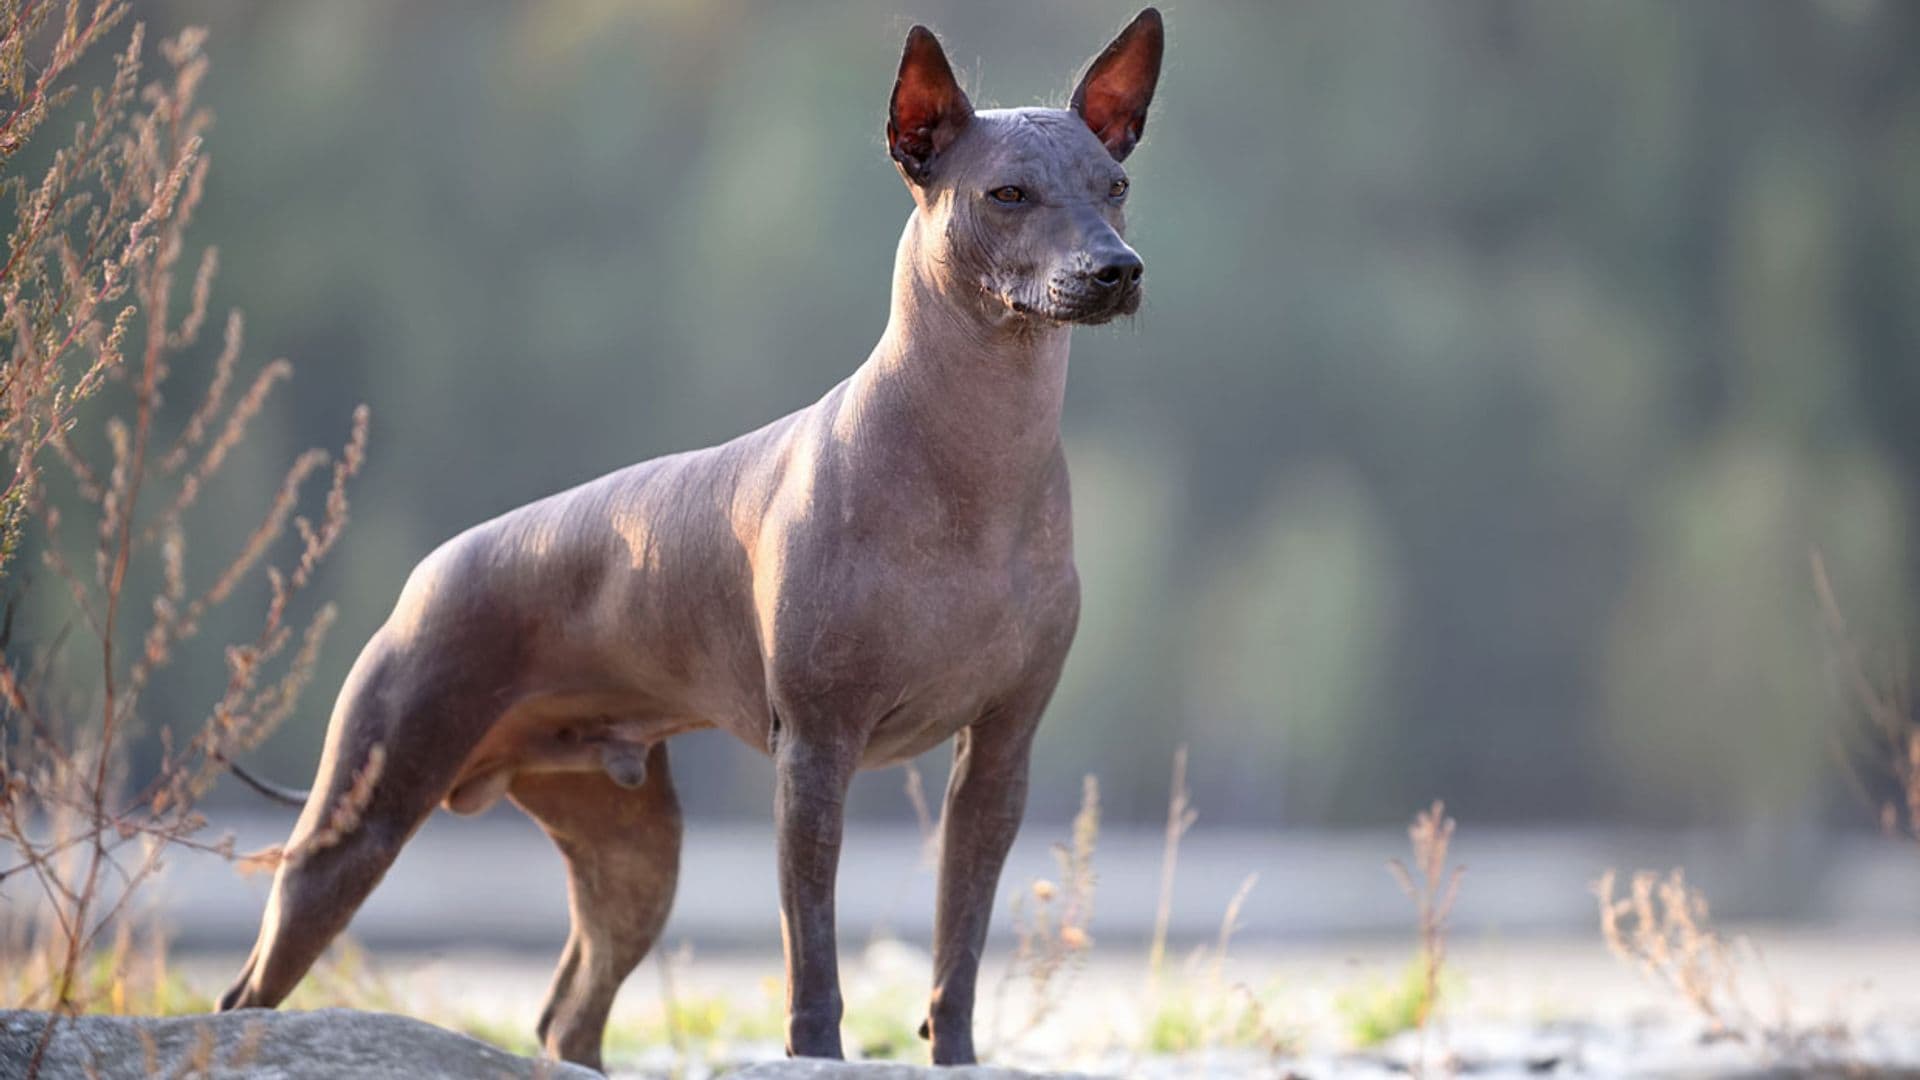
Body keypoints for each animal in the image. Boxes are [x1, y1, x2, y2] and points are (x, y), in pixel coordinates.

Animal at [217, 10, 1159, 1068]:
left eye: (1115, 186)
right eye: (1007, 194)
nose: (1117, 268)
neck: (976, 464)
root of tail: (426, 576)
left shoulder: (998, 760)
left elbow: (960, 943)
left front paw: (954, 1058)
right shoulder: (815, 754)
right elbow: (811, 952)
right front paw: (817, 1054)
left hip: (632, 853)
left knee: (570, 1013)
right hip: (361, 820)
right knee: (250, 991)